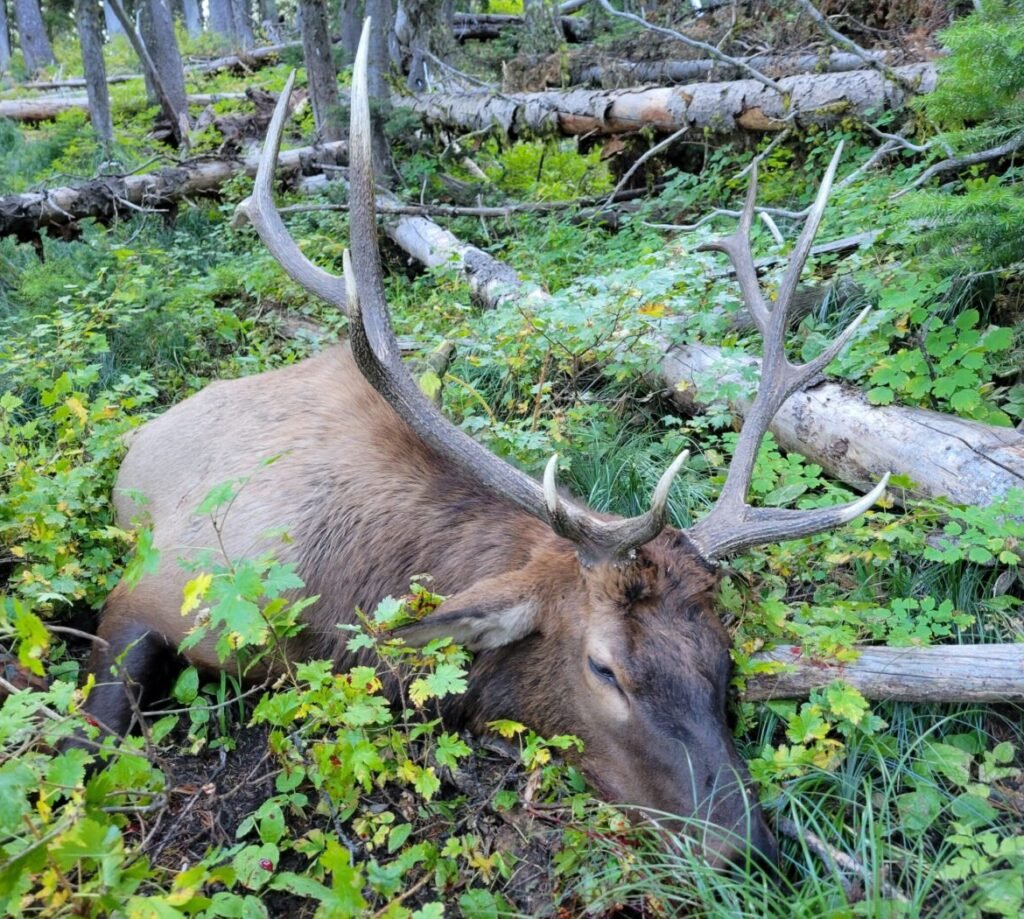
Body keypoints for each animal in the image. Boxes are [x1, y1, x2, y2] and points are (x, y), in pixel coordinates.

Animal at [81, 22, 888, 869]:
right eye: (604, 666)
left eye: (721, 656)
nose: (749, 848)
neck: (333, 606)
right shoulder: (155, 585)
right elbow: (91, 733)